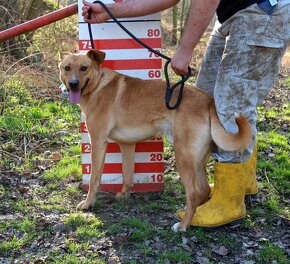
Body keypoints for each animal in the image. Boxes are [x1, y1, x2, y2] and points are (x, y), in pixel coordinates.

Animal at [59, 49, 251, 231]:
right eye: (67, 68)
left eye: (84, 68)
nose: (73, 84)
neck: (98, 85)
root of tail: (207, 100)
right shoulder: (127, 144)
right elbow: (127, 173)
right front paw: (125, 194)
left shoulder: (98, 142)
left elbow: (94, 179)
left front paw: (88, 203)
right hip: (198, 159)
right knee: (203, 191)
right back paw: (197, 217)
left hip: (183, 156)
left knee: (195, 192)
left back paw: (183, 225)